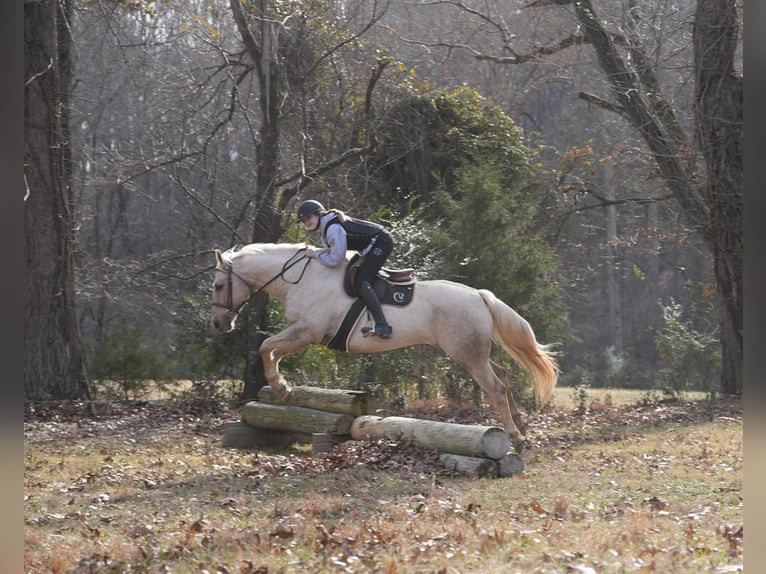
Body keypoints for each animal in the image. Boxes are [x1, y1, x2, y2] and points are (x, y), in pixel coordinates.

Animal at [210, 243, 559, 452]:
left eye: (218, 285)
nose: (219, 324)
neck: (300, 278)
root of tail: (479, 295)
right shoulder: (303, 333)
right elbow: (270, 349)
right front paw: (283, 388)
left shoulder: (306, 331)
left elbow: (266, 347)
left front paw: (281, 388)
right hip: (474, 353)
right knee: (503, 377)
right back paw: (521, 423)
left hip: (468, 355)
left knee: (496, 387)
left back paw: (514, 436)